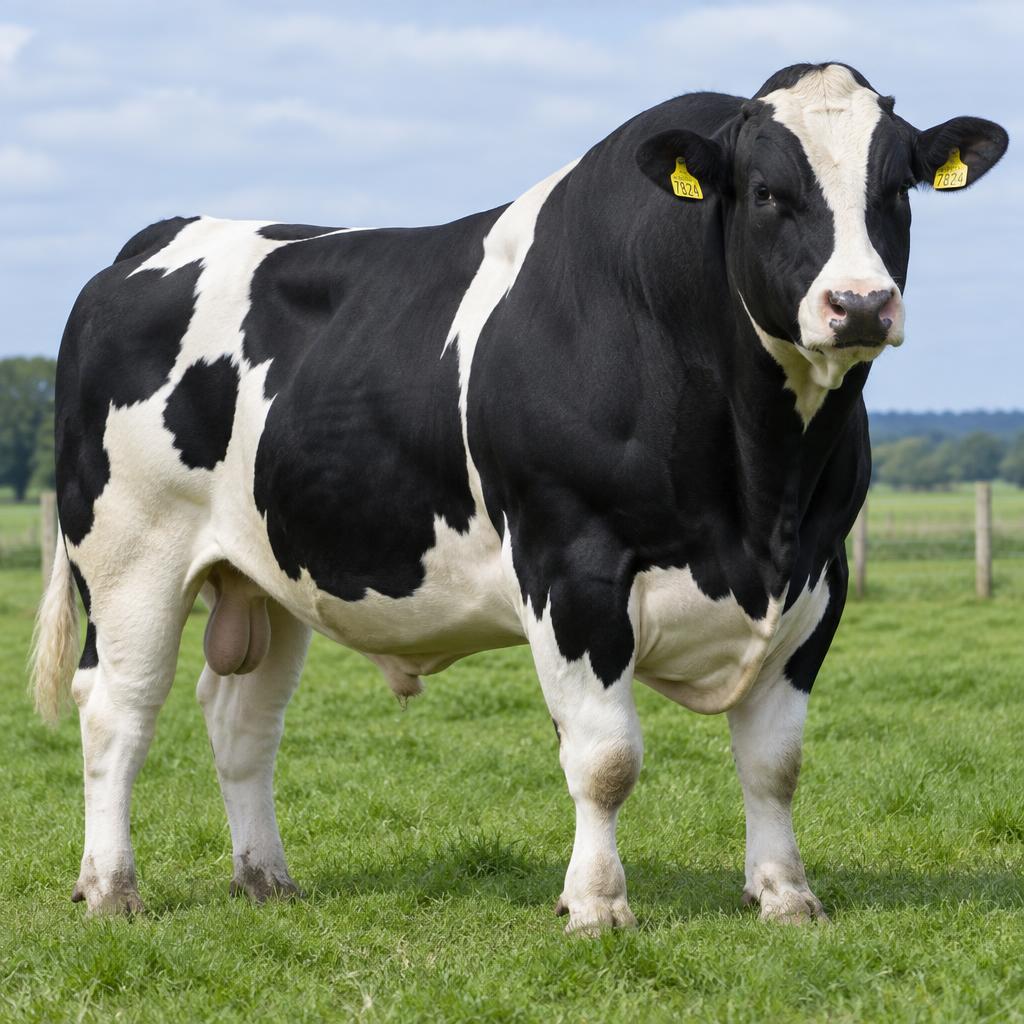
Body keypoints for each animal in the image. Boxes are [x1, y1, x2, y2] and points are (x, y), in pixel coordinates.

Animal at [31, 62, 1007, 933]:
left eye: (899, 189)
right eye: (767, 192)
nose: (861, 304)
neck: (757, 488)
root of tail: (161, 236)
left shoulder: (817, 575)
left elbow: (775, 762)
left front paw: (784, 896)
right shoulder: (572, 567)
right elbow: (606, 759)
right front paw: (597, 905)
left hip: (267, 573)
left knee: (241, 719)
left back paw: (265, 879)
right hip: (128, 556)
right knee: (117, 711)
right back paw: (111, 889)